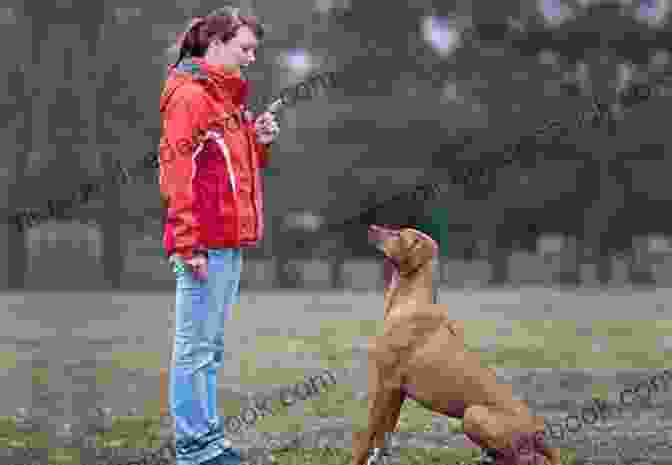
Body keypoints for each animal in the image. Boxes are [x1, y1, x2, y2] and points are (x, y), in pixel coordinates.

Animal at [352, 225, 560, 464]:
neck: (409, 301)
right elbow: (383, 436)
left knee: (530, 460)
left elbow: (367, 436)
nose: (371, 227)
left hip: (473, 415)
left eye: (398, 235)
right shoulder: (397, 391)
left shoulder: (385, 383)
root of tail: (538, 429)